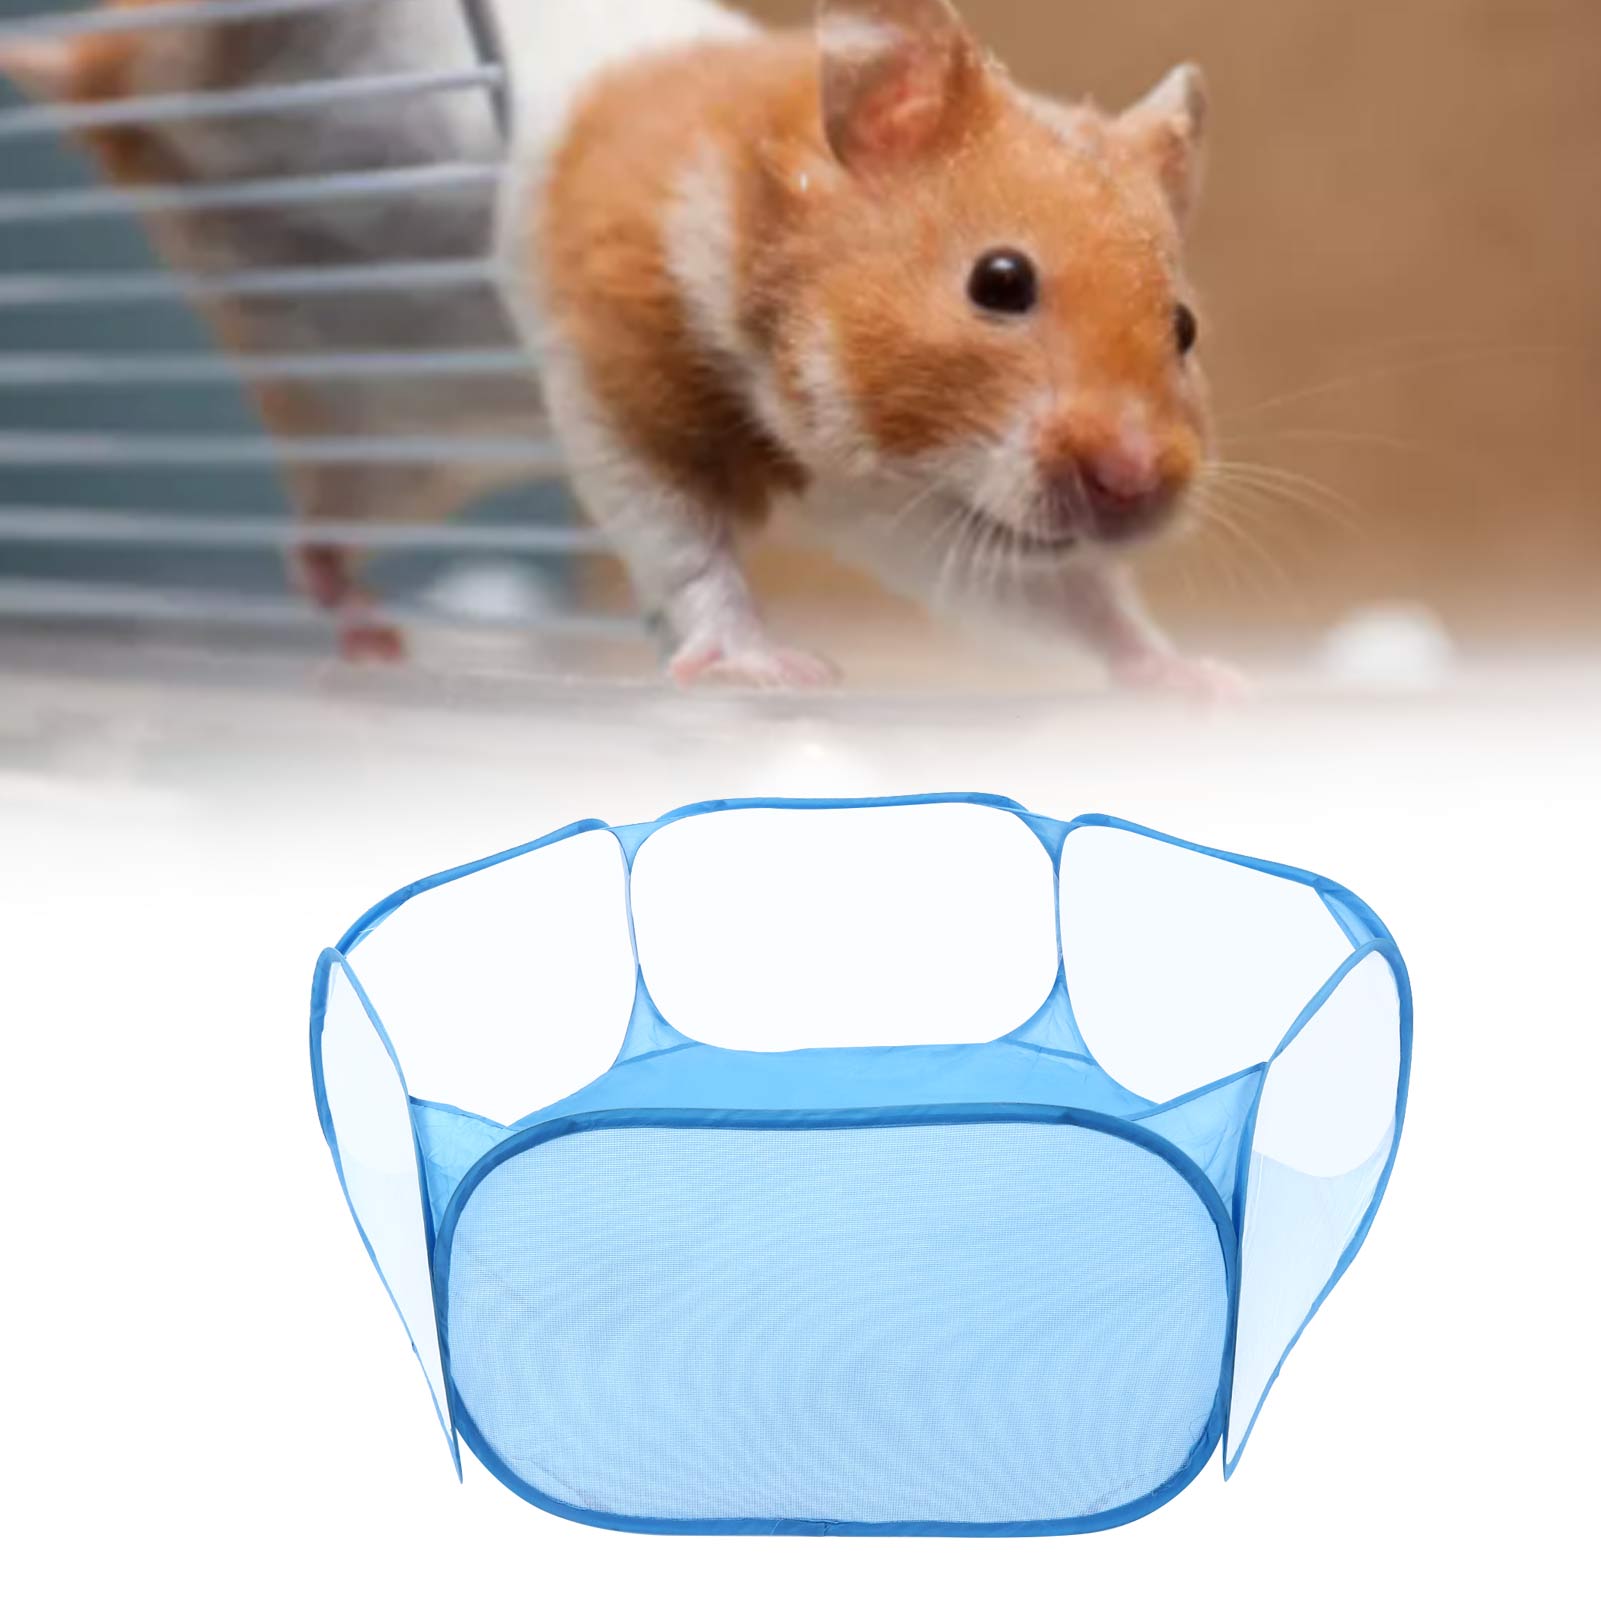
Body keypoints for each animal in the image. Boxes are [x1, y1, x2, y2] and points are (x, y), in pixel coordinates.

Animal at [490, 0, 1237, 693]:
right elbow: (687, 549)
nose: (1133, 481)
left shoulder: (916, 518)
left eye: (1185, 327)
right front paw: (781, 670)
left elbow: (1081, 597)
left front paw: (1206, 680)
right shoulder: (619, 386)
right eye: (999, 280)